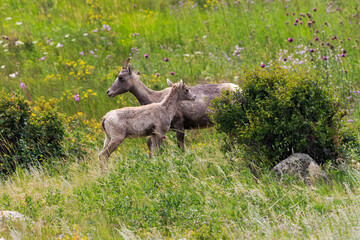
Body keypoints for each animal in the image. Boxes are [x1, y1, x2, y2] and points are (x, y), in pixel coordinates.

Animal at [107, 58, 242, 151]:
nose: (109, 92)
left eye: (120, 77)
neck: (157, 99)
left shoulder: (179, 126)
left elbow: (180, 147)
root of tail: (239, 89)